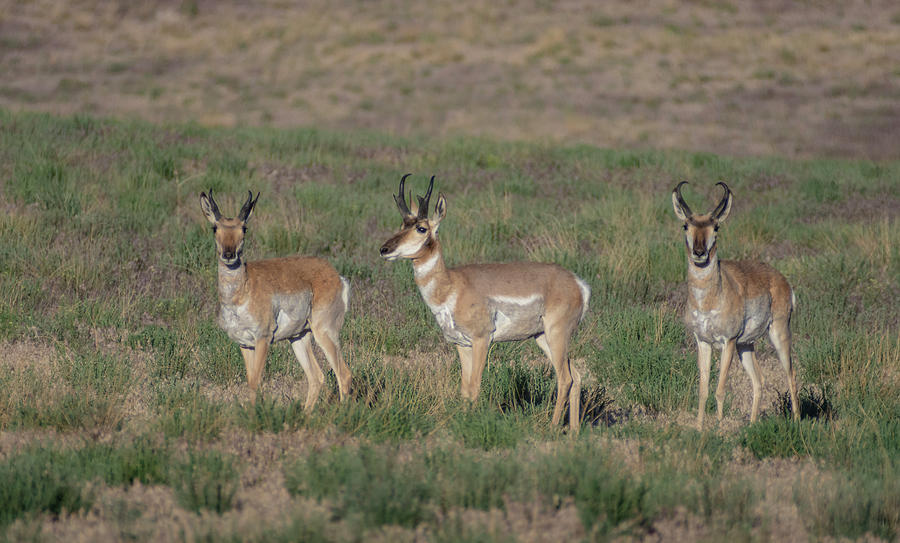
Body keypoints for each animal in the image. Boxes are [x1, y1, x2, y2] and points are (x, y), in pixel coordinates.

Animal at [199, 190, 352, 408]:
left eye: (244, 228)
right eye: (215, 228)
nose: (229, 254)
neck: (242, 291)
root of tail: (336, 275)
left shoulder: (263, 338)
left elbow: (256, 381)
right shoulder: (244, 344)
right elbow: (250, 381)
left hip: (324, 332)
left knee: (344, 374)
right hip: (299, 337)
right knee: (316, 377)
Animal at [379, 174, 591, 432]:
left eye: (421, 228)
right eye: (402, 225)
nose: (384, 249)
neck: (452, 285)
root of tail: (577, 282)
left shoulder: (482, 340)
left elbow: (475, 386)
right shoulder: (462, 345)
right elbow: (464, 389)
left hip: (556, 334)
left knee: (565, 378)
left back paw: (551, 428)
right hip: (542, 338)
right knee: (576, 376)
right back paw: (573, 432)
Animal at [672, 181, 800, 428]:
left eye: (716, 227)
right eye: (685, 225)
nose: (699, 253)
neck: (709, 299)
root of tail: (781, 279)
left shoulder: (728, 342)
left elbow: (720, 389)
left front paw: (719, 426)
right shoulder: (703, 342)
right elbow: (703, 390)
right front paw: (699, 427)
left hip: (777, 334)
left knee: (790, 374)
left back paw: (798, 422)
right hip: (746, 346)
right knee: (759, 380)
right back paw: (751, 424)